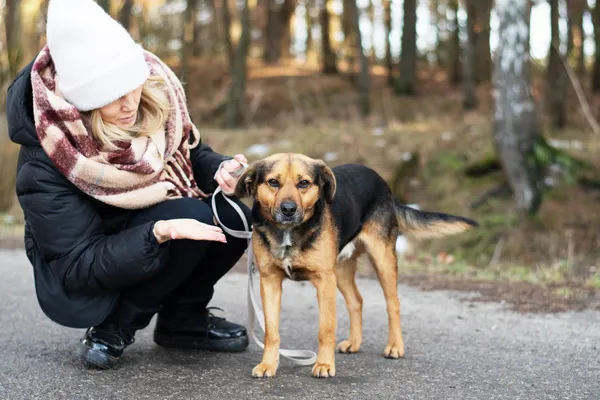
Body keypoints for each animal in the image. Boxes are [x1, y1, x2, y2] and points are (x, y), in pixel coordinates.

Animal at [234, 152, 478, 378]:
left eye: (303, 183)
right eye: (273, 182)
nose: (288, 209)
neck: (288, 232)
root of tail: (383, 183)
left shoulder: (324, 281)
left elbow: (326, 329)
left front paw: (324, 364)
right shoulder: (270, 281)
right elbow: (271, 331)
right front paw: (268, 365)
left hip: (382, 259)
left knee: (393, 304)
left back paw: (395, 346)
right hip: (340, 269)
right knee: (356, 301)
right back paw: (355, 342)